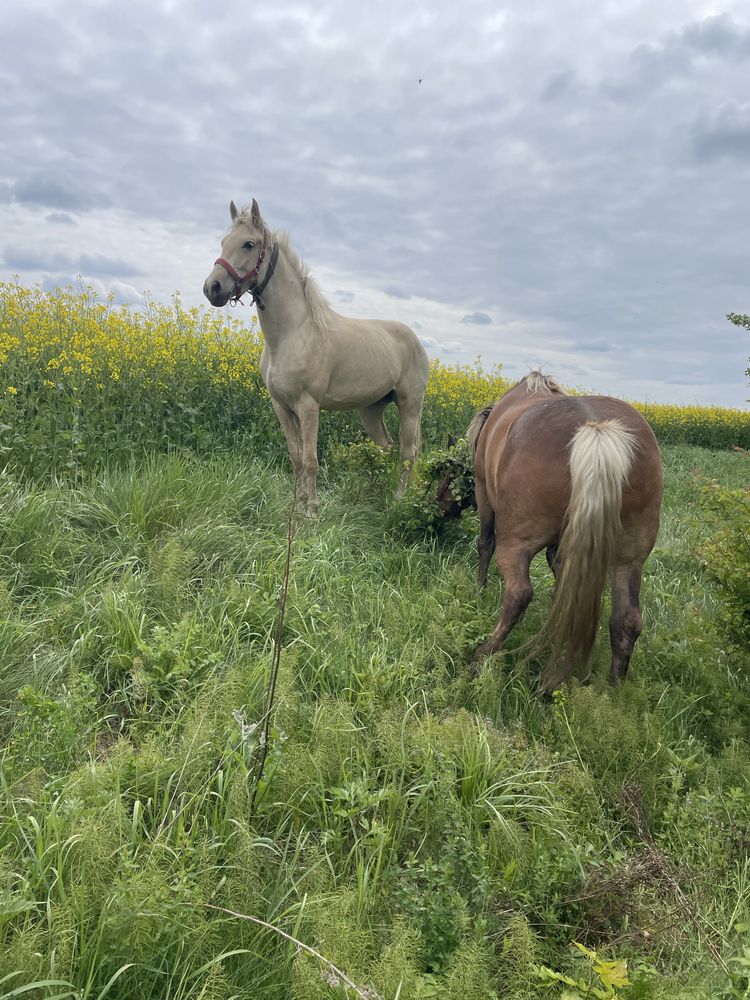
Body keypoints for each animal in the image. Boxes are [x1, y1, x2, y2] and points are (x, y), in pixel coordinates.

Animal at [204, 198, 428, 512]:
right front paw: (295, 503)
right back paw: (375, 494)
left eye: (249, 244)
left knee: (408, 452)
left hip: (410, 404)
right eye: (224, 242)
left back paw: (398, 498)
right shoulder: (282, 407)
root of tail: (415, 341)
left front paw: (311, 508)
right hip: (371, 408)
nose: (212, 288)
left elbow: (310, 459)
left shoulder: (308, 405)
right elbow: (296, 457)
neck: (292, 333)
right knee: (385, 447)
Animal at [446, 372, 664, 692]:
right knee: (627, 621)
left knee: (518, 595)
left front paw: (480, 589)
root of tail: (596, 431)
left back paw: (482, 656)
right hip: (629, 558)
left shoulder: (485, 496)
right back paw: (613, 690)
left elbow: (484, 543)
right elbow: (561, 580)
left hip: (516, 542)